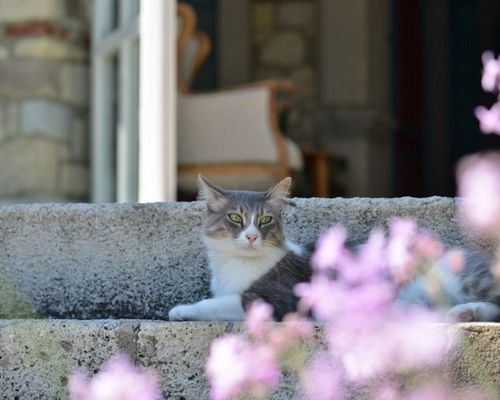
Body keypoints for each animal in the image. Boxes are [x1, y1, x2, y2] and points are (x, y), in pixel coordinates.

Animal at [168, 177, 500, 324]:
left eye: (265, 220)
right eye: (236, 218)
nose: (251, 236)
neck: (235, 265)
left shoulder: (278, 298)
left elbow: (220, 303)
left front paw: (182, 309)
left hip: (462, 278)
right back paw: (462, 313)